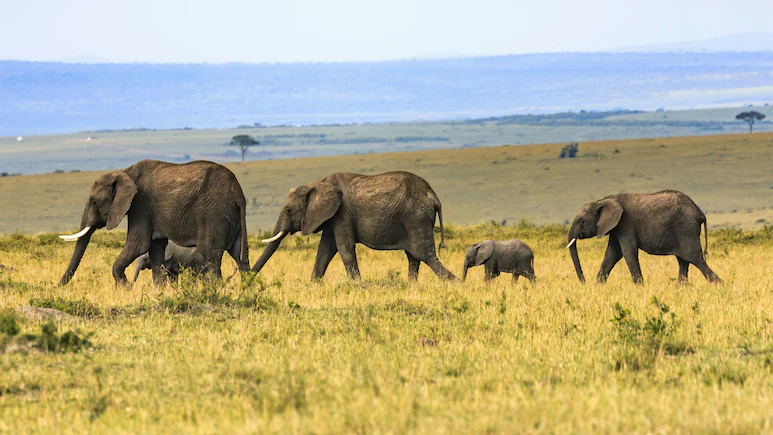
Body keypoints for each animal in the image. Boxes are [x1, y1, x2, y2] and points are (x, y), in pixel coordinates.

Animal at [58, 159, 250, 286]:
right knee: (240, 256)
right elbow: (156, 249)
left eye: (94, 201)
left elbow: (139, 244)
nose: (58, 286)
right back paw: (247, 291)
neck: (125, 172)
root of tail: (238, 192)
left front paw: (126, 289)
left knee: (212, 257)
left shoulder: (140, 204)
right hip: (233, 215)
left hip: (213, 215)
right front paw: (159, 291)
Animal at [251, 171, 457, 281]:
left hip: (416, 218)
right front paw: (313, 284)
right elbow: (325, 250)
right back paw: (410, 285)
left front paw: (358, 285)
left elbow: (344, 247)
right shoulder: (332, 216)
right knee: (414, 257)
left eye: (287, 210)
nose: (247, 279)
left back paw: (456, 283)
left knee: (424, 255)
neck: (317, 183)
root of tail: (434, 197)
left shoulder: (342, 213)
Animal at [567, 190, 721, 284]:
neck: (603, 200)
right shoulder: (616, 228)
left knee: (693, 258)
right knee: (683, 260)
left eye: (582, 221)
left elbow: (628, 252)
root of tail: (700, 212)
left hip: (686, 229)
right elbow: (612, 254)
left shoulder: (625, 224)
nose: (584, 283)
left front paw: (640, 287)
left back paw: (719, 285)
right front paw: (598, 286)